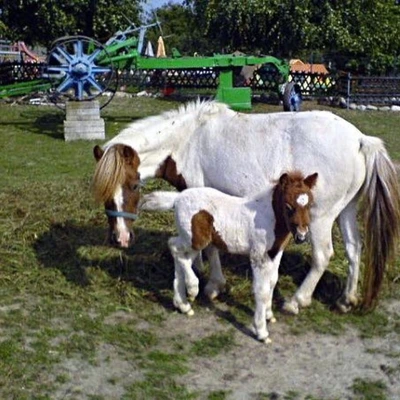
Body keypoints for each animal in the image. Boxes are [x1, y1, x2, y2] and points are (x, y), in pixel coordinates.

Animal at [91, 100, 400, 312]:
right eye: (104, 192)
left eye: (133, 186)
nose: (120, 238)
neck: (188, 140)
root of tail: (360, 139)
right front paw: (197, 268)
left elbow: (212, 246)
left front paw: (211, 285)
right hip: (345, 210)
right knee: (354, 249)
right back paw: (346, 300)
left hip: (319, 218)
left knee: (323, 256)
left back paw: (296, 301)